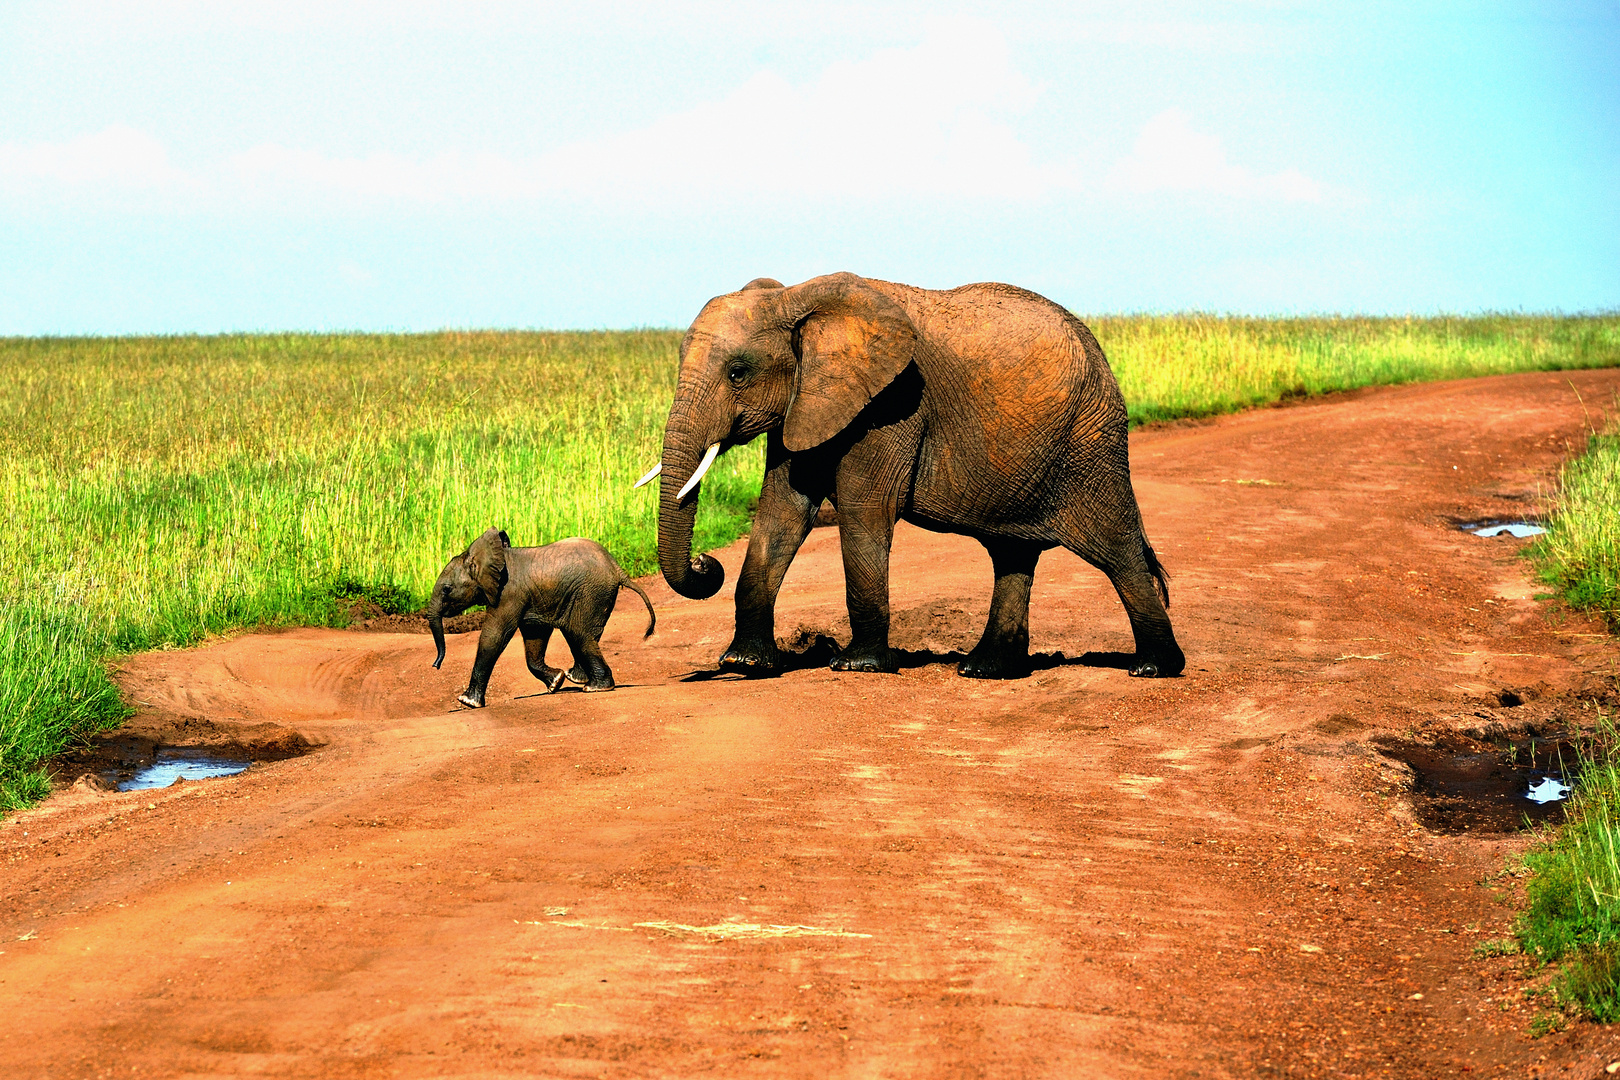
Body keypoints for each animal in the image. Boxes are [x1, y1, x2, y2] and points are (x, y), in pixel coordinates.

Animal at [437, 524, 657, 709]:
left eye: (447, 589)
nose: (436, 665)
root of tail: (618, 569)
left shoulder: (508, 593)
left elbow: (494, 636)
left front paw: (467, 701)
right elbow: (535, 636)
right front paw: (555, 683)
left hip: (591, 592)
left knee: (578, 632)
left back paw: (594, 687)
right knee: (581, 634)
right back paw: (576, 678)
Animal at [638, 275, 1185, 680]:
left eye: (737, 373)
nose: (706, 563)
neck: (796, 296)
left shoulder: (892, 402)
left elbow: (864, 509)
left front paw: (857, 666)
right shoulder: (808, 401)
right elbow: (781, 512)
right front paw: (744, 663)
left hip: (1091, 444)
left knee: (1117, 549)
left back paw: (1154, 668)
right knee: (1012, 554)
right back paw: (985, 670)